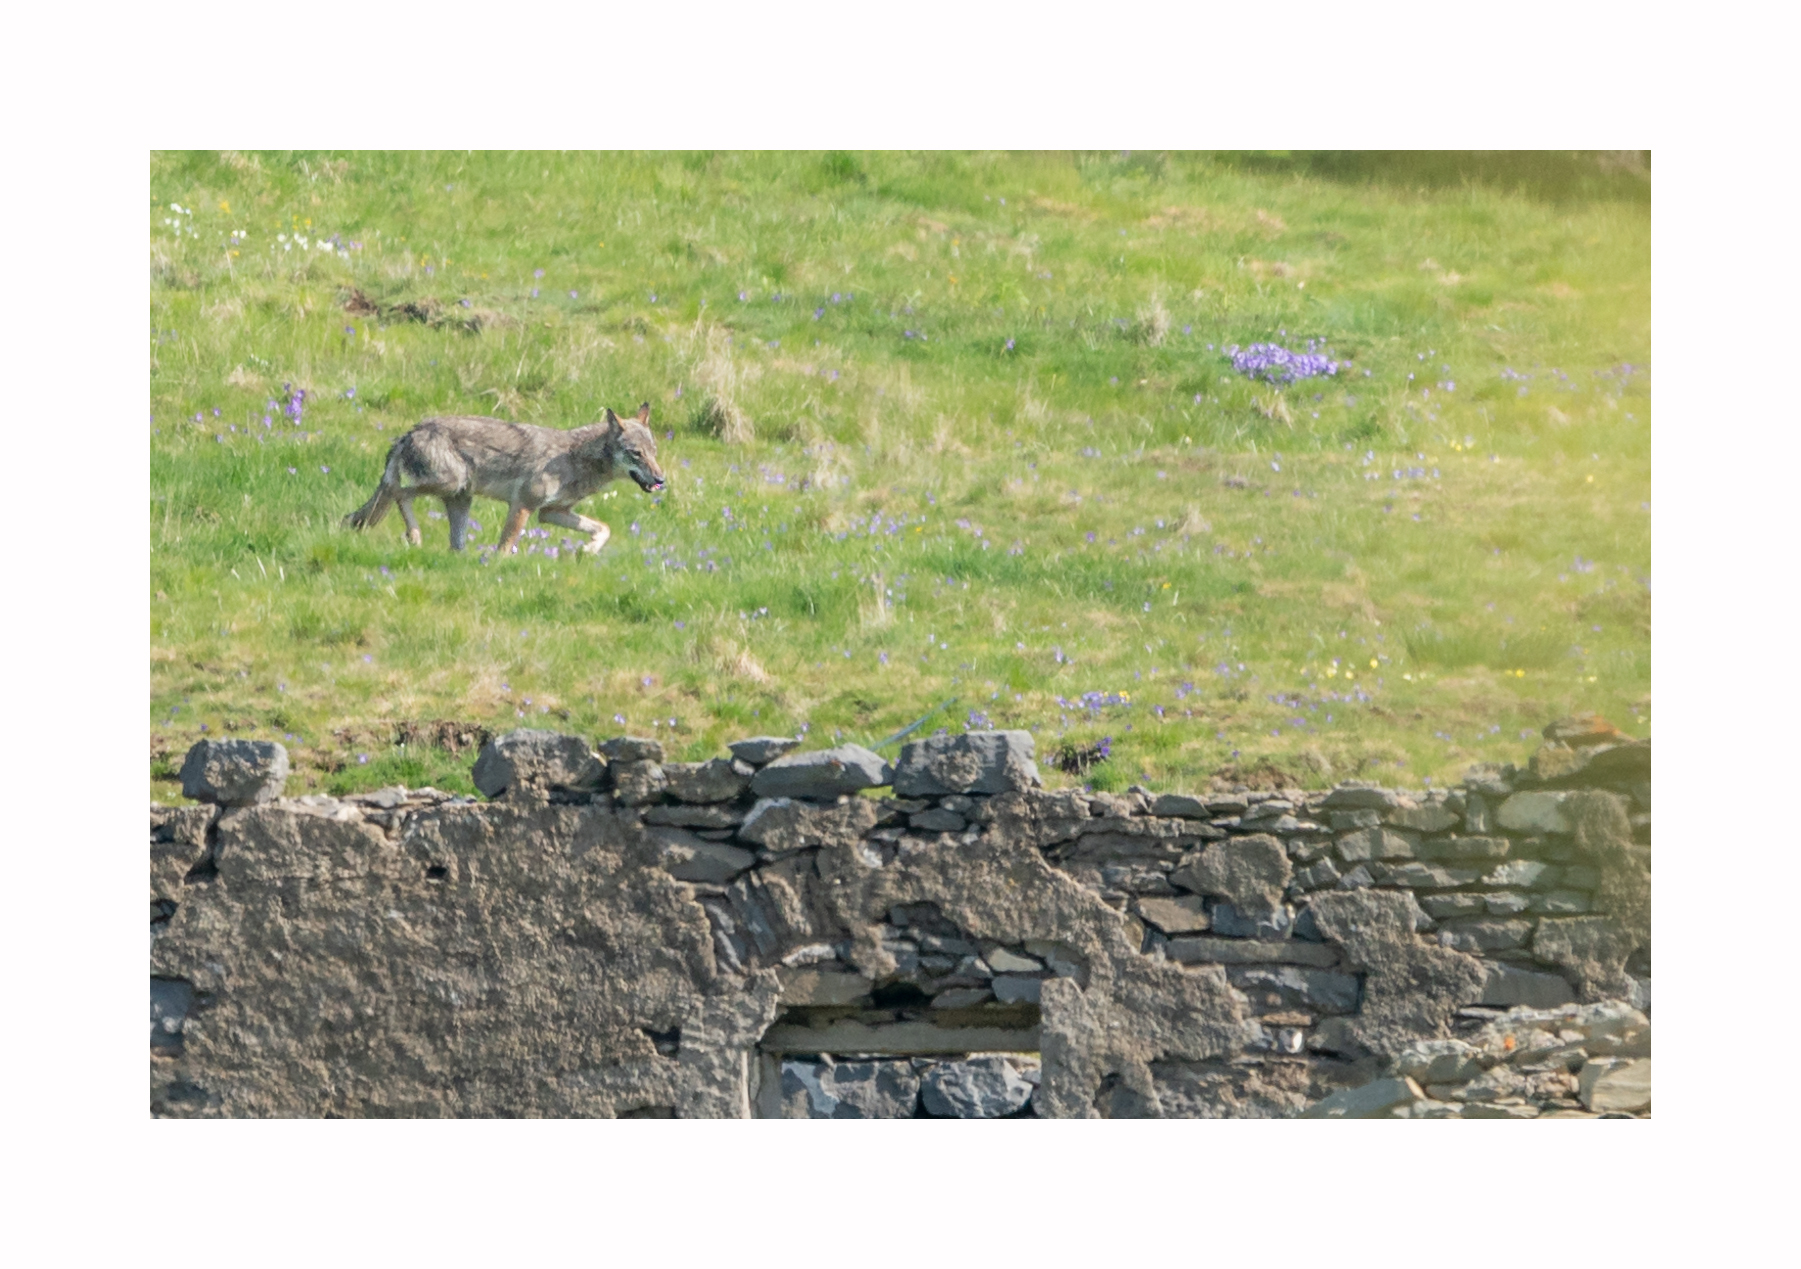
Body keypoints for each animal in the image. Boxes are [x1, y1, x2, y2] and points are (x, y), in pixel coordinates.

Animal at [344, 403, 666, 554]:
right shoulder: (523, 504)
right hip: (449, 483)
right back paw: (415, 536)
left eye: (653, 452)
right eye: (636, 454)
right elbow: (504, 547)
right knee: (399, 493)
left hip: (461, 499)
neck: (575, 456)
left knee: (454, 545)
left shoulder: (551, 513)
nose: (661, 479)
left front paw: (585, 552)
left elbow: (603, 529)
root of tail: (411, 430)